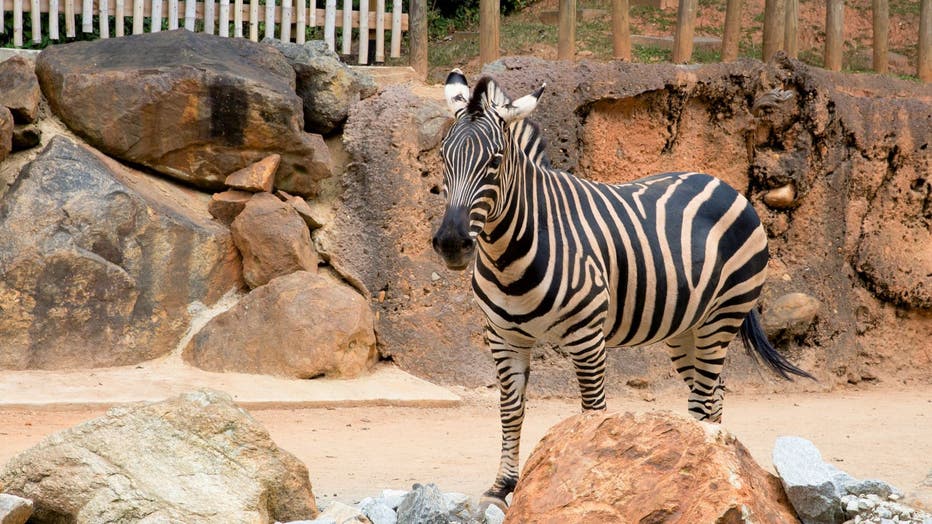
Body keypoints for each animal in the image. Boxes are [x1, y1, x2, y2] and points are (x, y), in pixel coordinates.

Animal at [430, 69, 808, 508]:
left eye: (494, 161)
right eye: (444, 158)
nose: (451, 243)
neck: (512, 252)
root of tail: (722, 183)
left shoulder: (586, 336)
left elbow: (592, 413)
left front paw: (583, 482)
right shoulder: (503, 336)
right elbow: (510, 410)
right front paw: (502, 487)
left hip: (723, 316)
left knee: (703, 398)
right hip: (686, 329)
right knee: (712, 399)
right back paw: (712, 465)